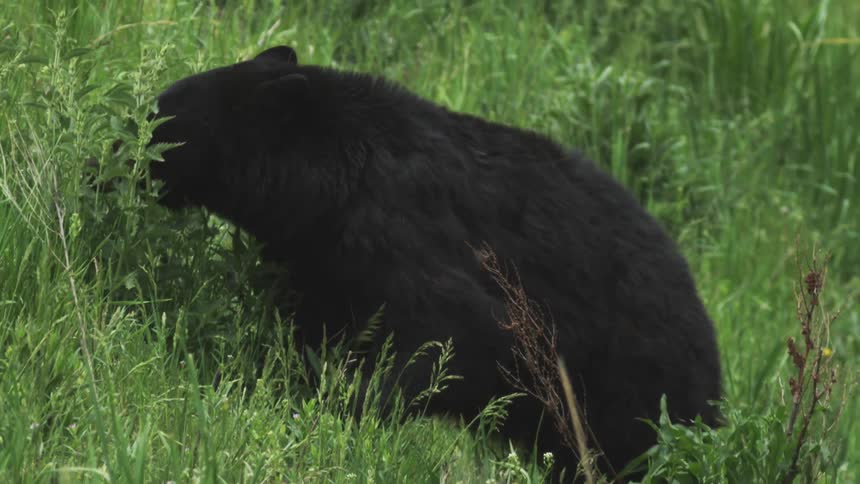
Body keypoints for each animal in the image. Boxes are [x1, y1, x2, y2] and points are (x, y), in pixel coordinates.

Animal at [138, 45, 723, 479]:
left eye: (159, 118)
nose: (117, 153)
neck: (333, 181)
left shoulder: (405, 234)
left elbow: (460, 333)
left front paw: (344, 409)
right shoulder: (320, 260)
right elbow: (310, 329)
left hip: (639, 388)